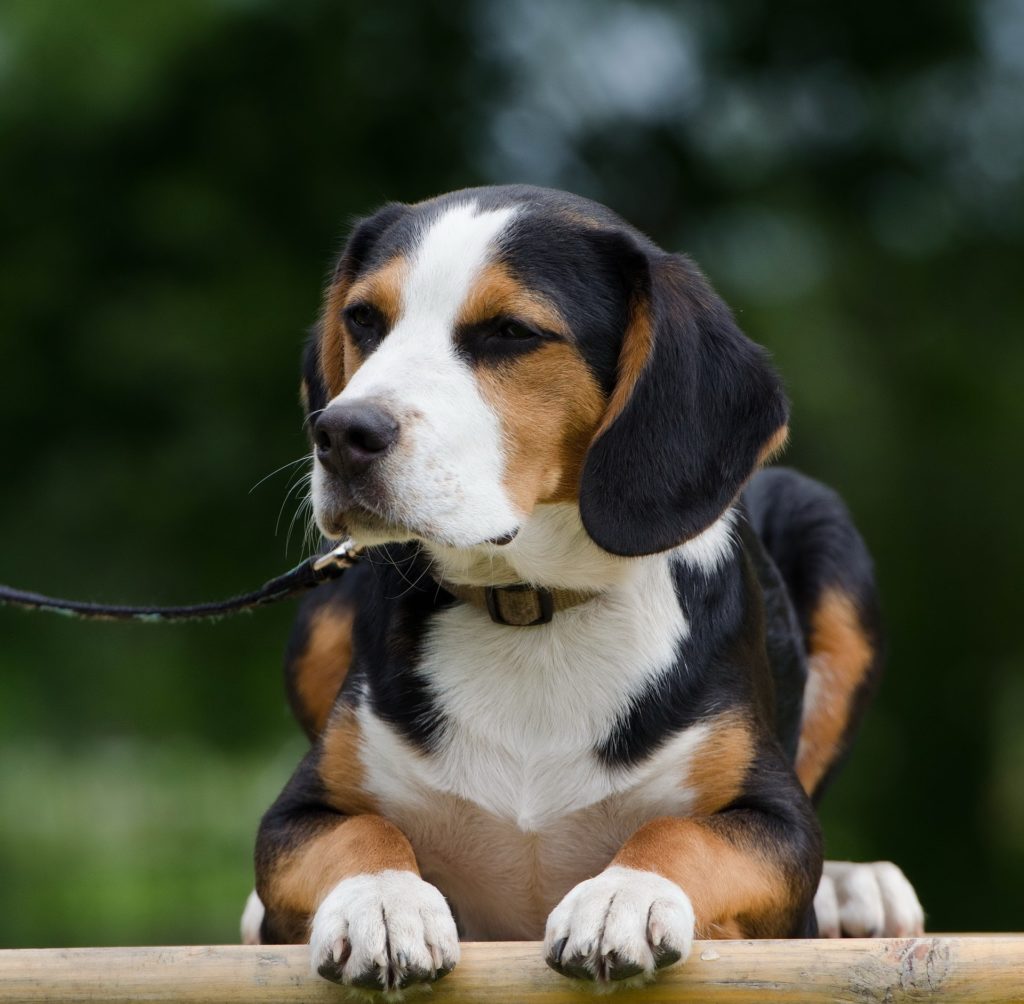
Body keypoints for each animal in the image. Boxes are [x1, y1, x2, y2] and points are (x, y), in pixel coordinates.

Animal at [241, 184, 929, 991]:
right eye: (363, 320)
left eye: (511, 332)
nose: (341, 432)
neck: (529, 609)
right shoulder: (296, 816)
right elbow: (362, 832)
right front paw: (383, 902)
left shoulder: (776, 823)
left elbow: (681, 833)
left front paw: (623, 896)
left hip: (827, 536)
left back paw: (860, 885)